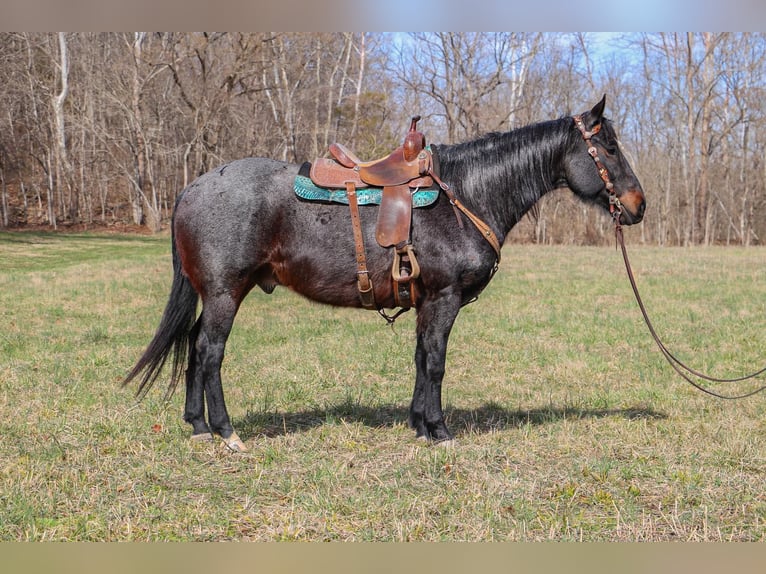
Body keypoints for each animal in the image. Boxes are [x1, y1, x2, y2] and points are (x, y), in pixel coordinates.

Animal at [124, 97, 648, 452]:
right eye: (608, 147)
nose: (638, 206)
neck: (467, 194)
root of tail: (192, 187)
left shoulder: (426, 302)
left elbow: (420, 359)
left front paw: (419, 424)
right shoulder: (444, 298)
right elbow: (435, 363)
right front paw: (439, 430)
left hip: (218, 293)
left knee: (194, 346)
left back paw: (197, 425)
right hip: (224, 293)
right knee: (210, 352)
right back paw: (227, 432)